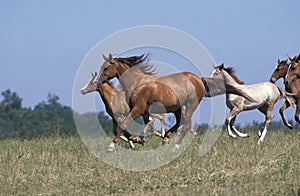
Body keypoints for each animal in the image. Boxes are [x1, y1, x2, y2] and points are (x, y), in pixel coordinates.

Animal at [94, 52, 253, 151]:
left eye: (106, 67)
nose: (97, 82)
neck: (138, 83)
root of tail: (199, 79)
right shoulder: (144, 111)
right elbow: (145, 126)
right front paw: (138, 140)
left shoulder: (138, 108)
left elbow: (124, 125)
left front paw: (111, 146)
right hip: (177, 108)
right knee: (180, 122)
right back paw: (166, 139)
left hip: (190, 105)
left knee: (185, 125)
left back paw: (175, 145)